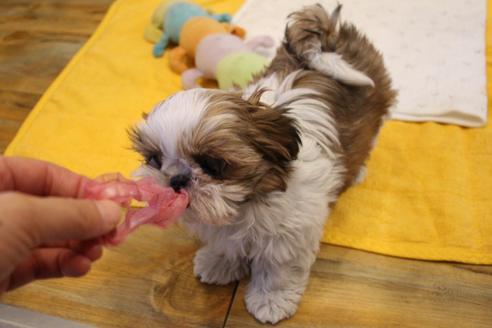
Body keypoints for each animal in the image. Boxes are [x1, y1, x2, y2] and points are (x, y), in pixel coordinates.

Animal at [131, 3, 396, 324]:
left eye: (212, 164)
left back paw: (357, 171)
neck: (247, 204)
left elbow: (278, 269)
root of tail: (332, 36)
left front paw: (271, 300)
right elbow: (225, 245)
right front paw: (219, 262)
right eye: (154, 159)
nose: (176, 178)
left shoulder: (290, 234)